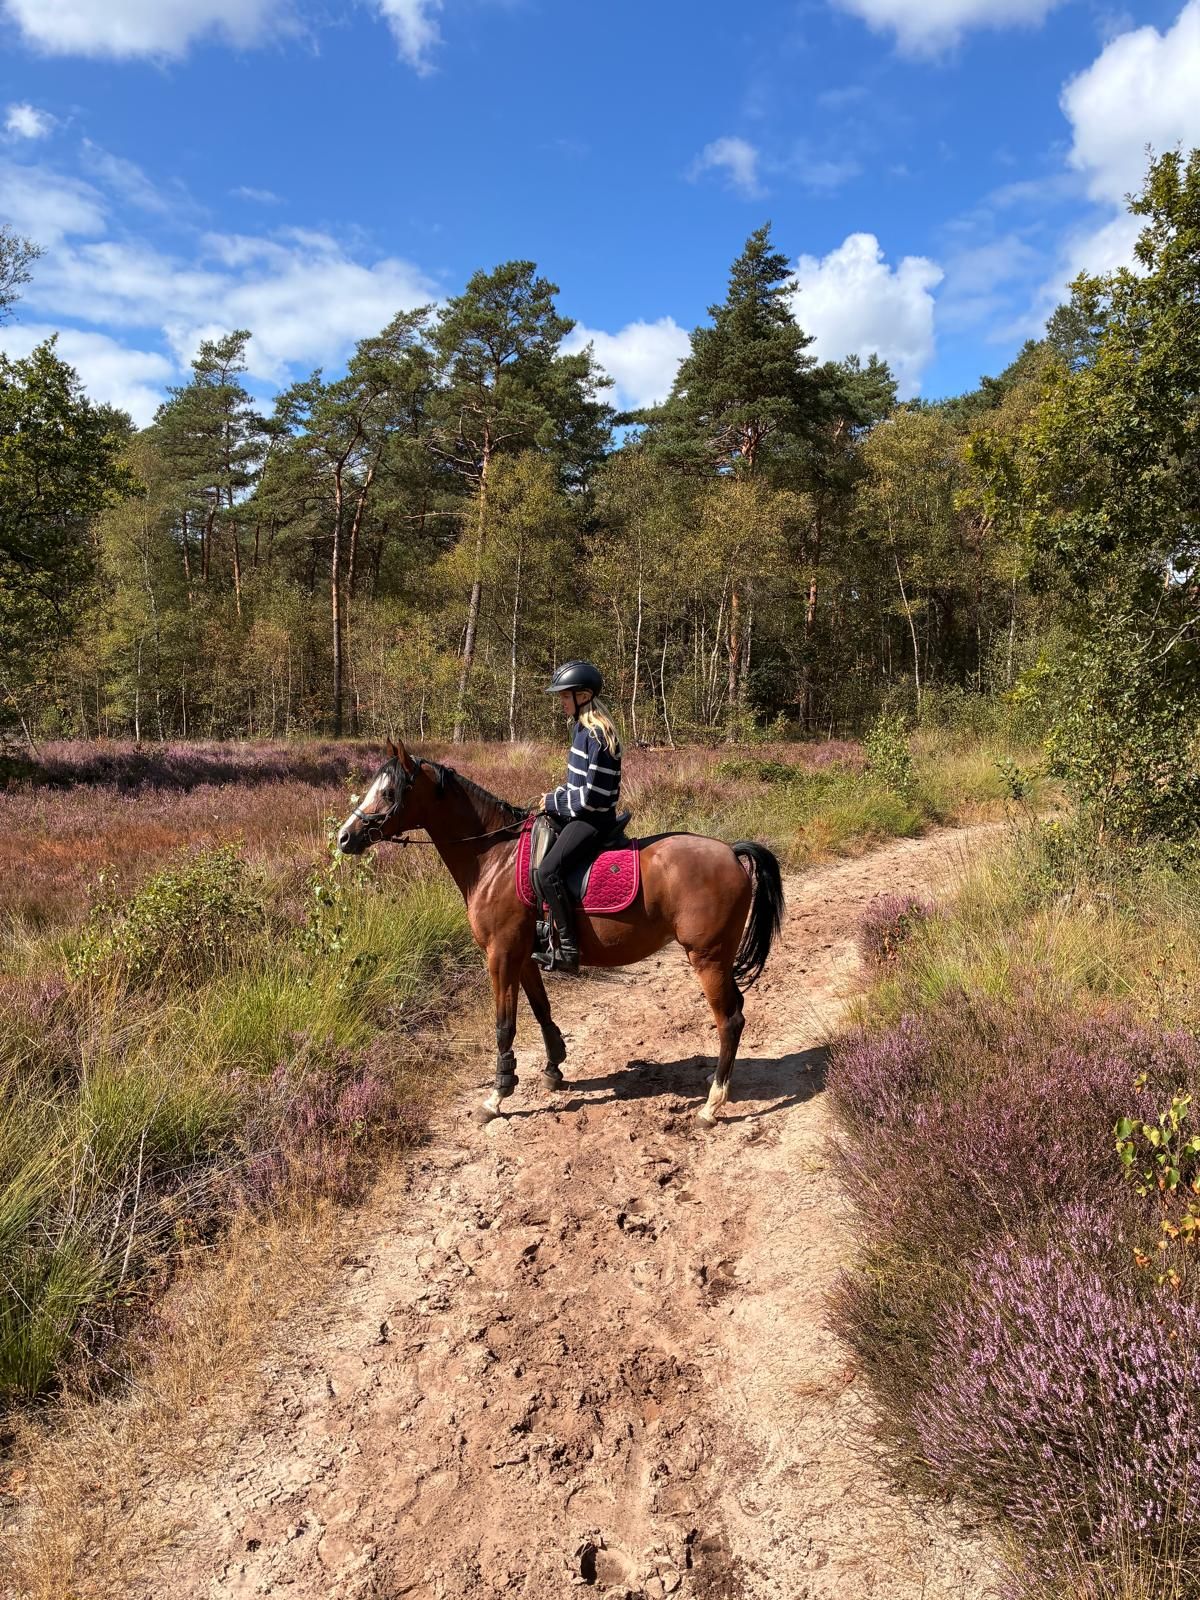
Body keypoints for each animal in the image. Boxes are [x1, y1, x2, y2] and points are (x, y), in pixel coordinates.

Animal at [336, 740, 784, 1129]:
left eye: (389, 791)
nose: (344, 837)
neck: (494, 858)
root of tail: (731, 853)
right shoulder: (521, 956)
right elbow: (541, 1011)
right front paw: (553, 1067)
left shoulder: (500, 955)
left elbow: (505, 1025)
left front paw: (497, 1096)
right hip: (718, 958)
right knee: (737, 1011)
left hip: (707, 958)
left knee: (729, 1019)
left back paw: (712, 1104)